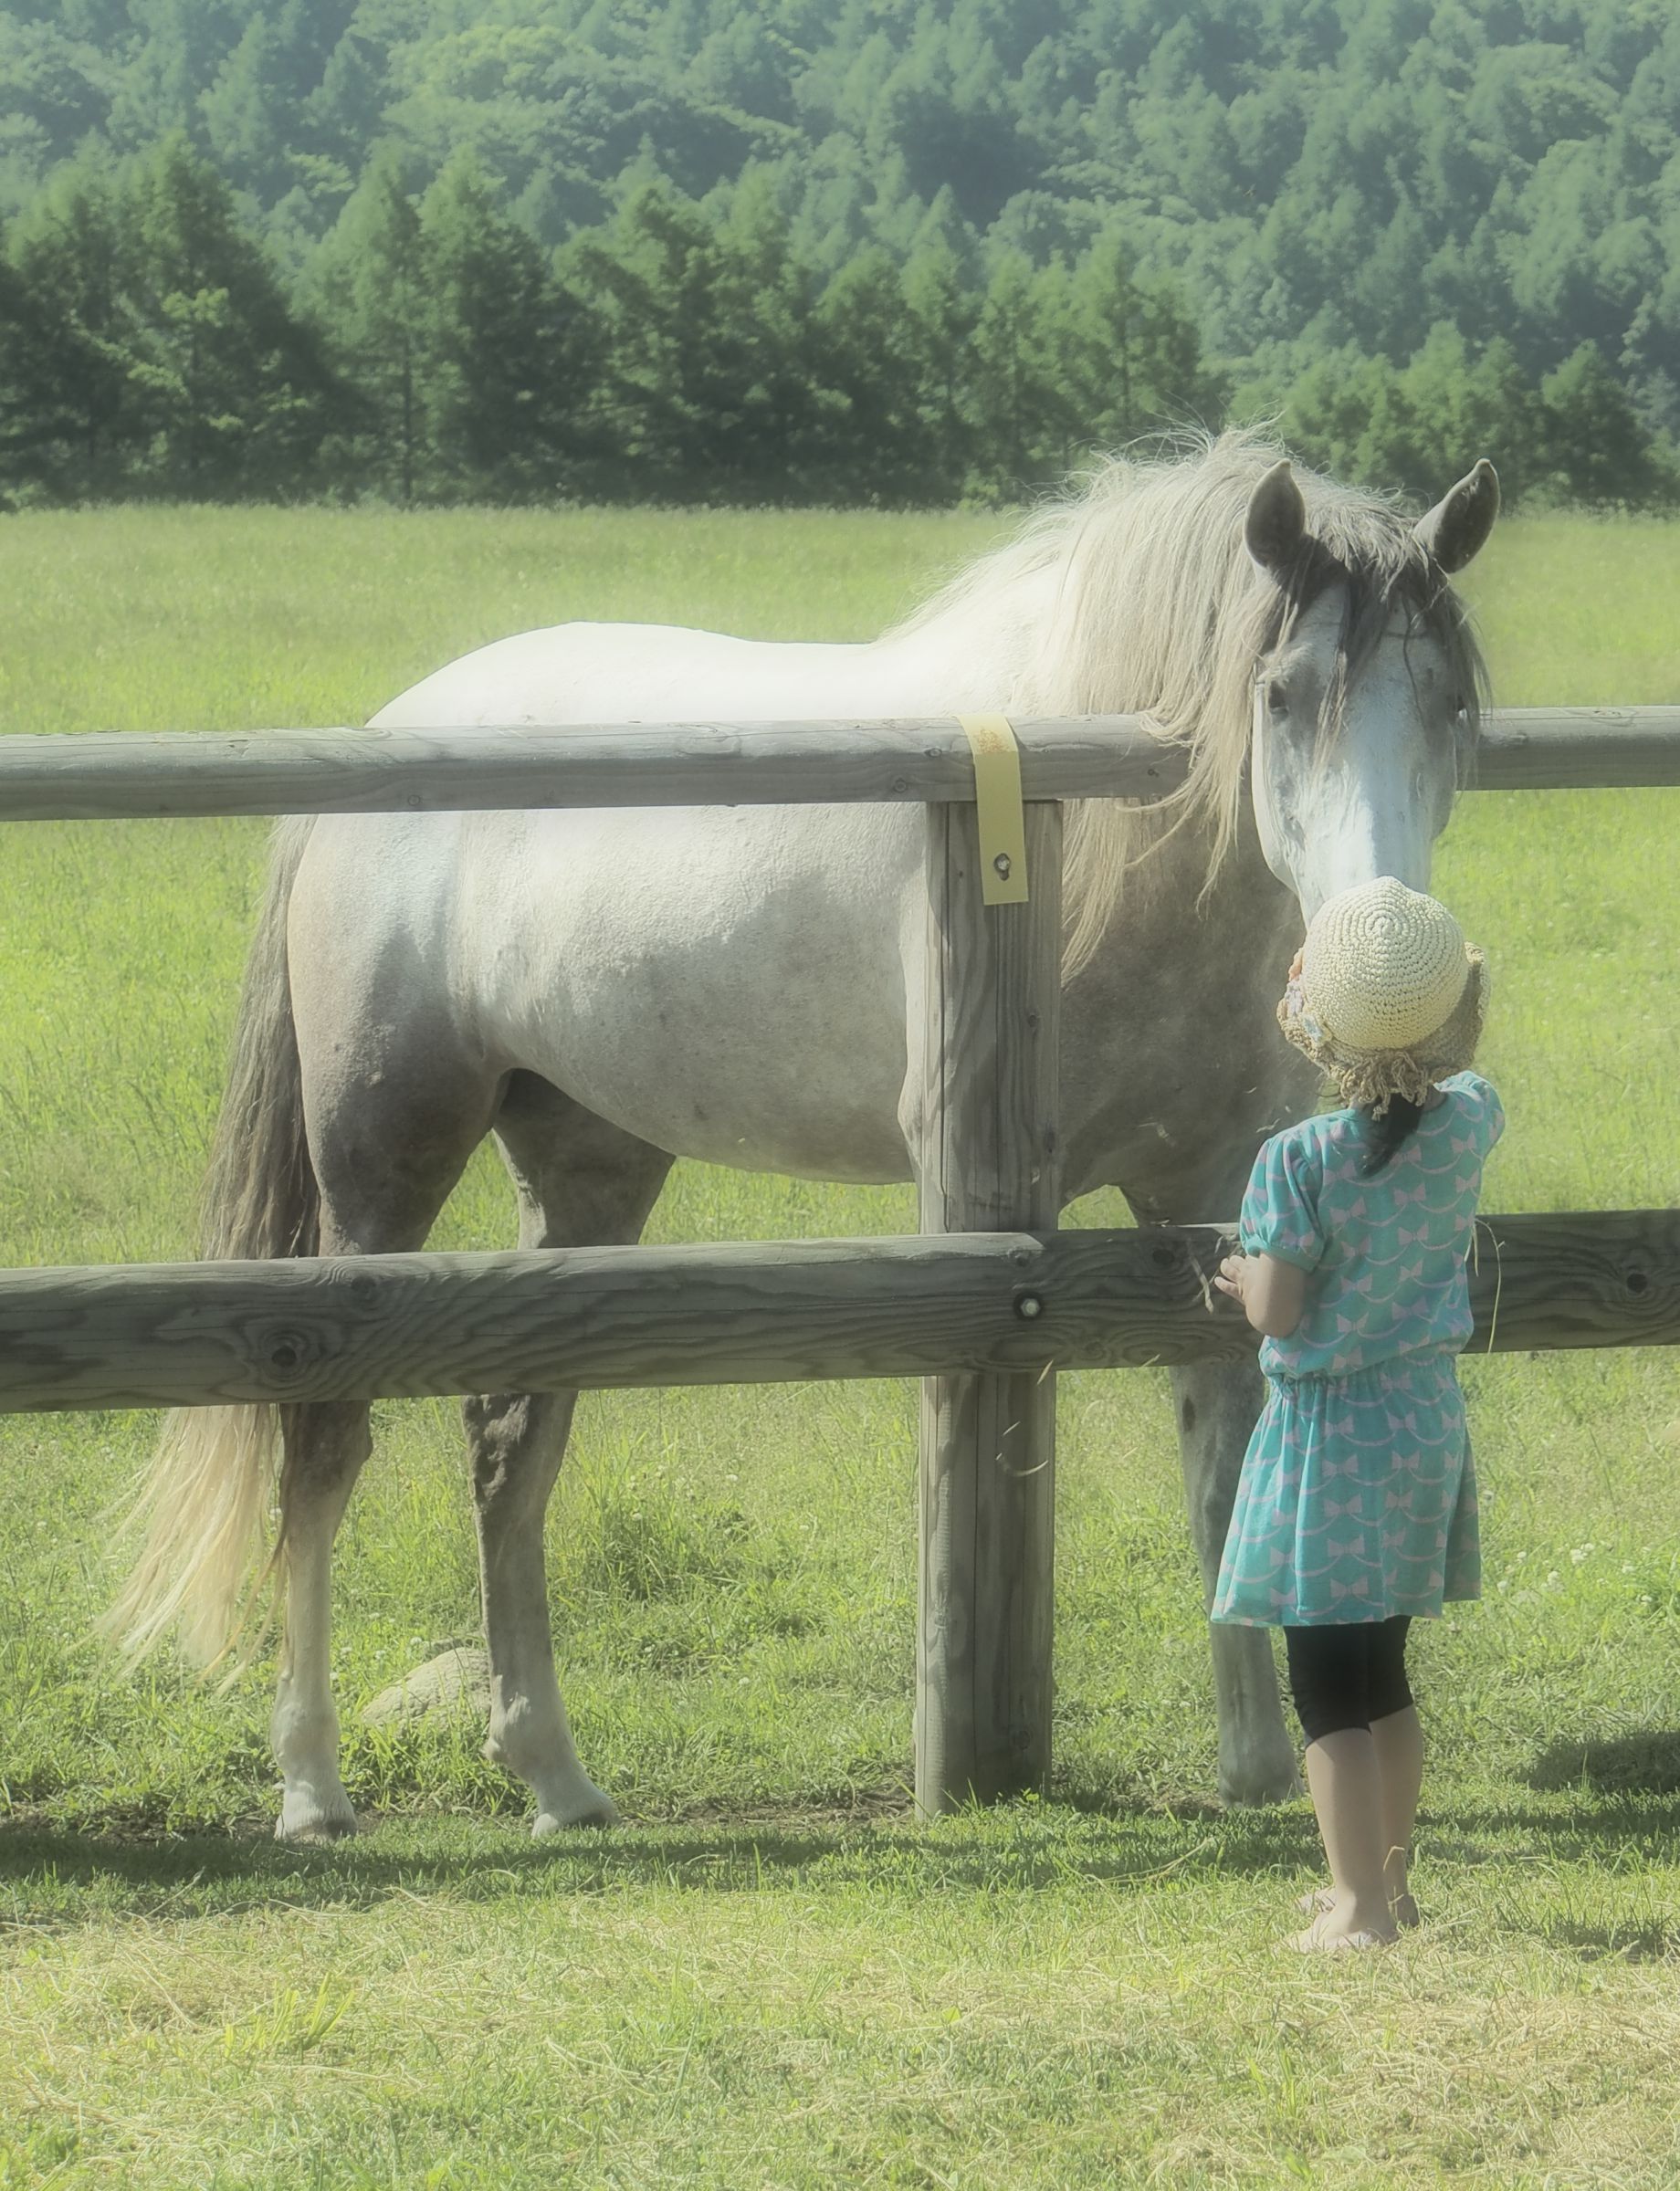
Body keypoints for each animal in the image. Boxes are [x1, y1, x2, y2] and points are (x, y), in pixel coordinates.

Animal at [108, 431, 1499, 1840]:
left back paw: (552, 1773)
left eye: (1452, 704)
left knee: (512, 1442)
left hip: (587, 1169)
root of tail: (380, 748)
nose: (1390, 967)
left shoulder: (1203, 1189)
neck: (1094, 830)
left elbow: (1222, 1458)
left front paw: (1261, 1765)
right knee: (323, 1439)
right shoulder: (985, 1213)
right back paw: (312, 1785)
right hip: (381, 1161)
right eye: (1279, 693)